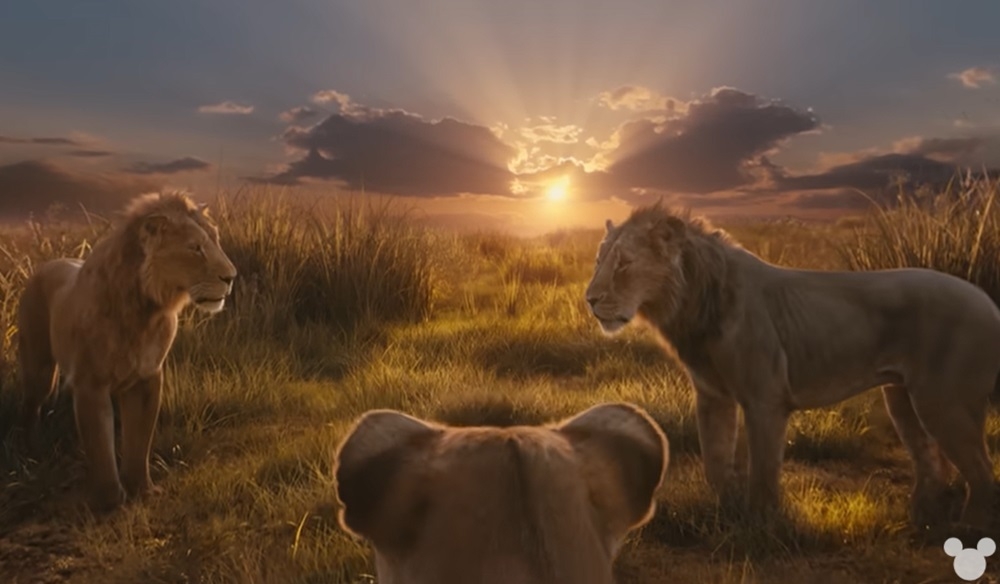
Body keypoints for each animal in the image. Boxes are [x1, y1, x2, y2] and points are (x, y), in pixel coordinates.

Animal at [16, 191, 237, 512]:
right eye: (195, 248)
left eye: (216, 240)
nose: (231, 277)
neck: (145, 311)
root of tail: (46, 264)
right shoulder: (90, 384)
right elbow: (100, 446)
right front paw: (109, 501)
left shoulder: (147, 378)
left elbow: (138, 440)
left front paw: (142, 490)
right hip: (39, 369)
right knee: (30, 406)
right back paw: (30, 453)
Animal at [585, 202, 1000, 532]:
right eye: (598, 260)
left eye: (623, 263)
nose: (589, 299)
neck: (691, 304)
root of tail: (987, 300)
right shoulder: (713, 396)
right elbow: (715, 463)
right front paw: (727, 515)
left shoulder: (765, 400)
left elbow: (763, 470)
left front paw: (760, 525)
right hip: (902, 398)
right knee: (934, 462)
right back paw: (924, 522)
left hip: (944, 403)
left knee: (981, 473)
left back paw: (969, 532)